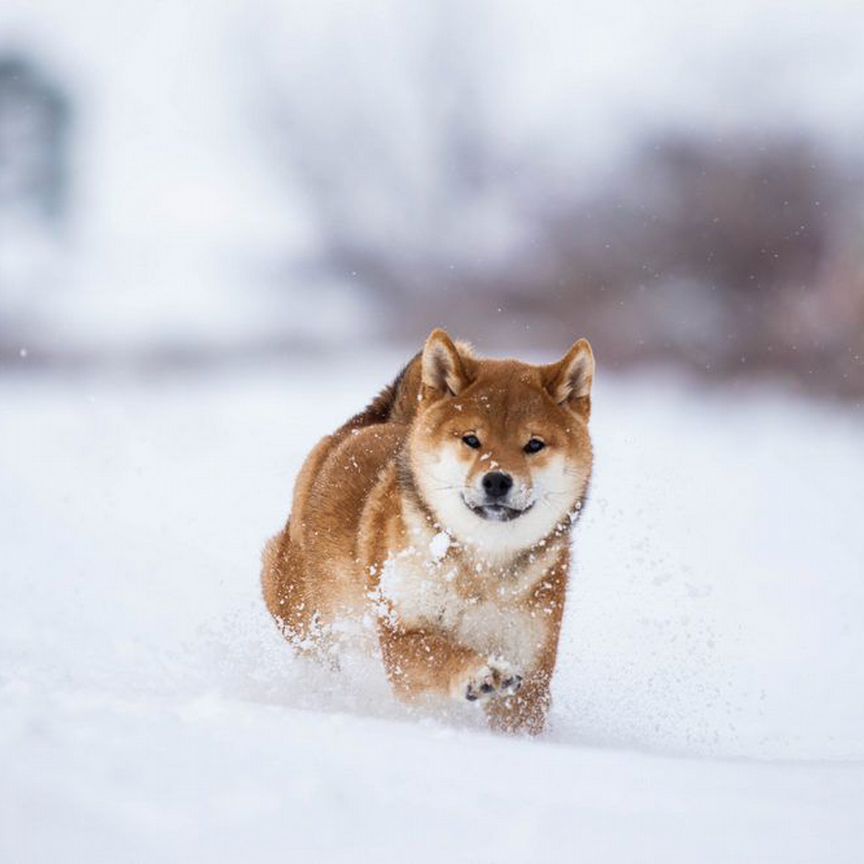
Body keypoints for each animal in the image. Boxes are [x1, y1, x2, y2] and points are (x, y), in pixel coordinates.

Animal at [264, 330, 592, 736]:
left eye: (534, 444)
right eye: (472, 440)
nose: (497, 480)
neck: (480, 570)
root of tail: (357, 429)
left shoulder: (530, 668)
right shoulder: (400, 633)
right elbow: (438, 652)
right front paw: (481, 673)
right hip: (305, 614)